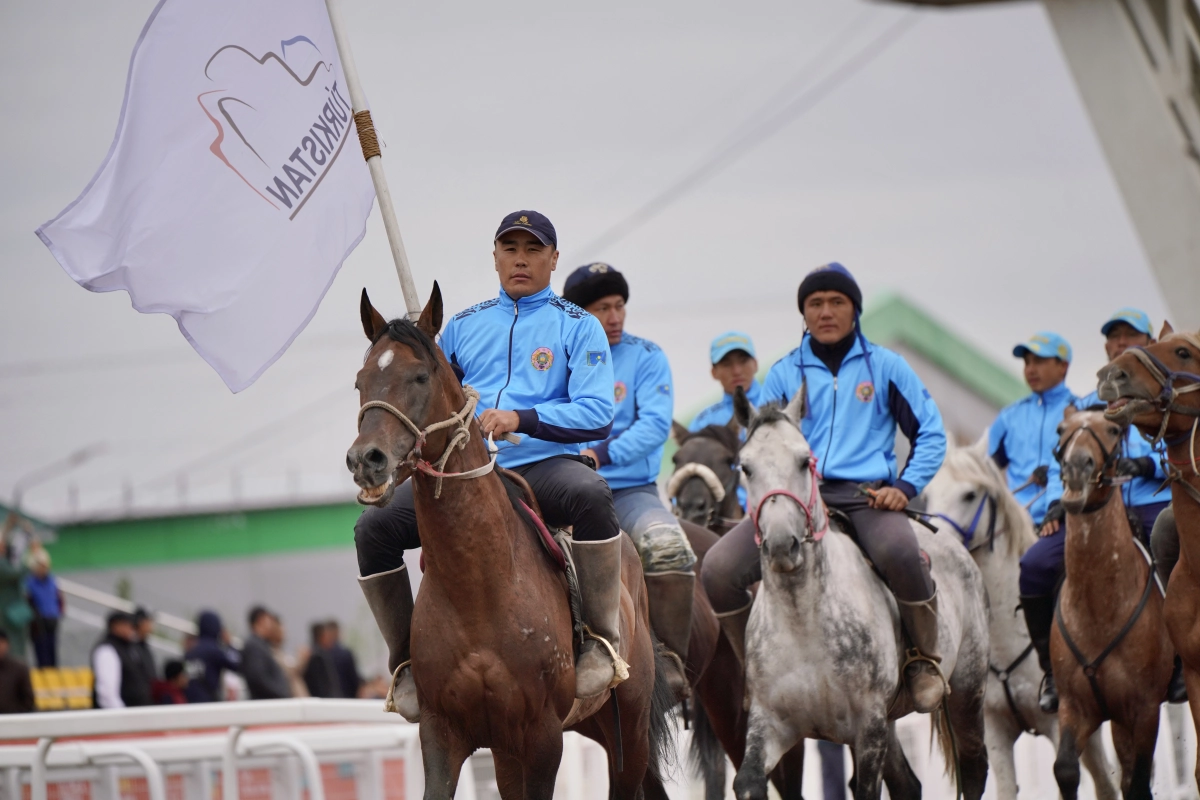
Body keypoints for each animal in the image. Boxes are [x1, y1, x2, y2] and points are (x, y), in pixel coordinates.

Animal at [348, 286, 676, 800]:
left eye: (420, 375)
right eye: (361, 382)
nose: (367, 460)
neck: (479, 587)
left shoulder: (542, 737)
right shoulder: (444, 733)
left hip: (630, 727)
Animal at [724, 391, 988, 800]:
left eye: (805, 461)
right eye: (746, 468)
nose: (782, 545)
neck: (803, 621)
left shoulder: (869, 728)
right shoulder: (770, 724)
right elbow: (748, 781)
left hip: (966, 692)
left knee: (975, 769)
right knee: (908, 784)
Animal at [1051, 410, 1171, 796]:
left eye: (1114, 430)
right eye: (1062, 430)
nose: (1076, 466)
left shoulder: (1146, 710)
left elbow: (1138, 785)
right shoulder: (1075, 707)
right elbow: (1065, 769)